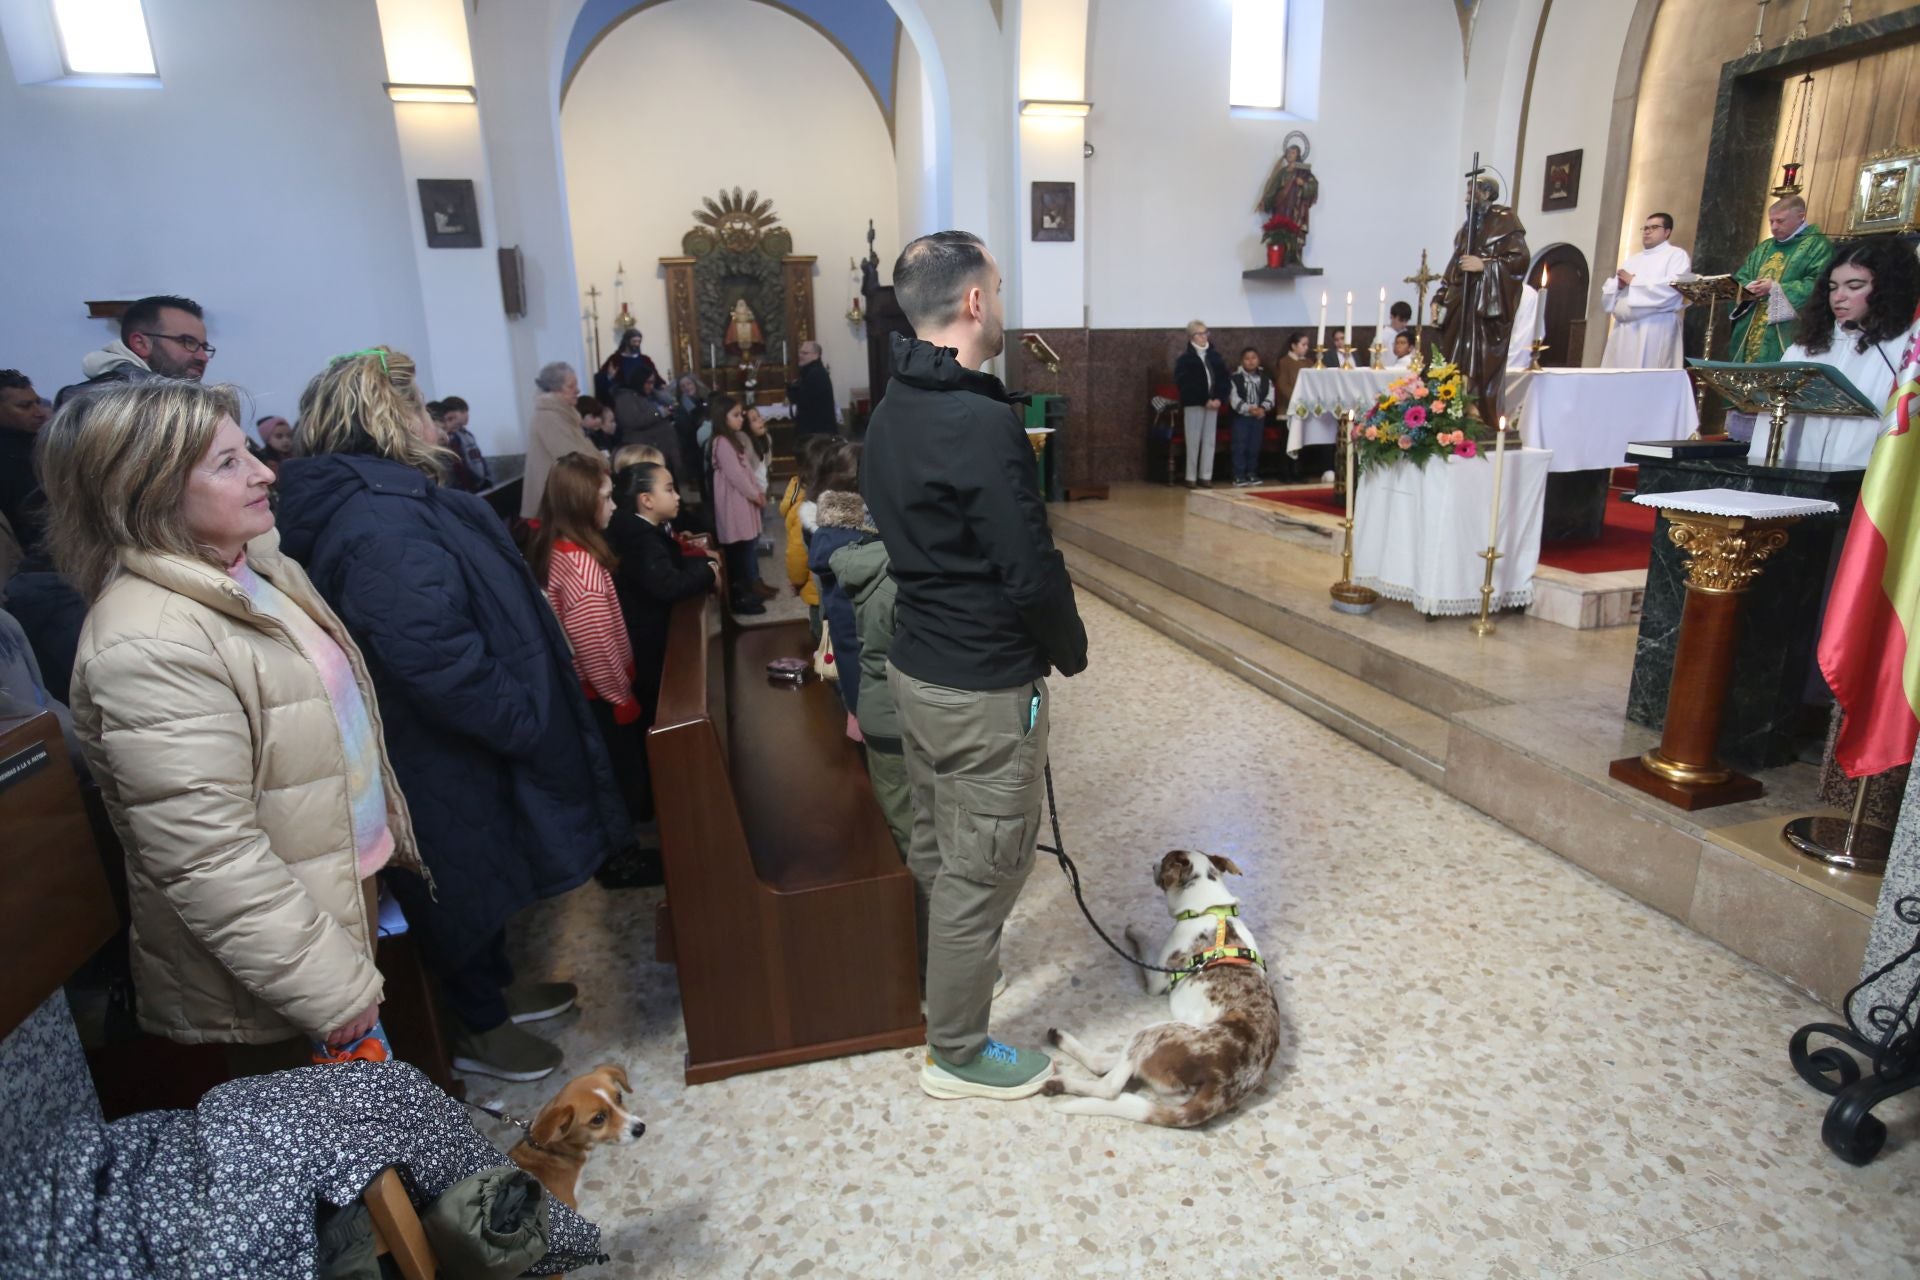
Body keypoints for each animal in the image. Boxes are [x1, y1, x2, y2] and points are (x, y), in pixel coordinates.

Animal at [1044, 855, 1282, 1128]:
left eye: (1166, 860)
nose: (1152, 865)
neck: (1211, 908)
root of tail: (1219, 1090)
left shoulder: (1157, 977)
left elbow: (1146, 946)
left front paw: (1137, 931)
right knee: (1109, 1065)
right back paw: (1058, 1039)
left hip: (1154, 1032)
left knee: (1108, 1085)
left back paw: (1059, 1080)